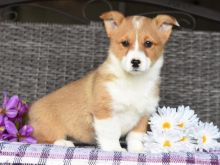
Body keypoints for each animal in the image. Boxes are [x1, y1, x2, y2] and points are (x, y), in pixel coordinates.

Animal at [27, 10, 179, 152]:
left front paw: (138, 150)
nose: (135, 62)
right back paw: (63, 142)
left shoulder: (142, 115)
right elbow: (111, 134)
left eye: (148, 43)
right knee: (39, 139)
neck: (133, 82)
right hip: (48, 128)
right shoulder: (105, 112)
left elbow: (135, 136)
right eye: (125, 43)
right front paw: (115, 149)